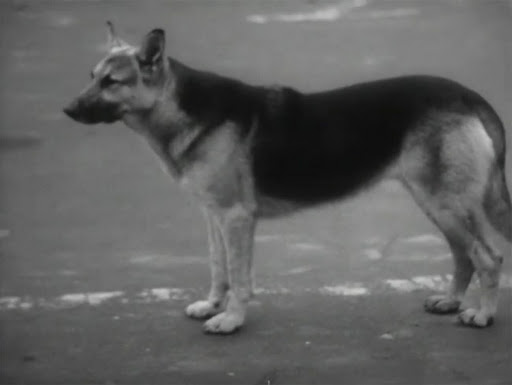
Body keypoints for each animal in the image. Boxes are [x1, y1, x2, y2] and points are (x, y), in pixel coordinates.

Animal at [62, 23, 510, 332]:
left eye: (111, 82)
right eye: (91, 75)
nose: (66, 110)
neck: (180, 108)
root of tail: (468, 96)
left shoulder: (236, 218)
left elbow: (239, 276)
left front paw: (231, 319)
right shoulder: (214, 217)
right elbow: (218, 268)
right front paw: (212, 305)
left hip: (445, 204)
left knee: (488, 257)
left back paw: (482, 314)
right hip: (439, 206)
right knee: (464, 256)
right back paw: (451, 301)